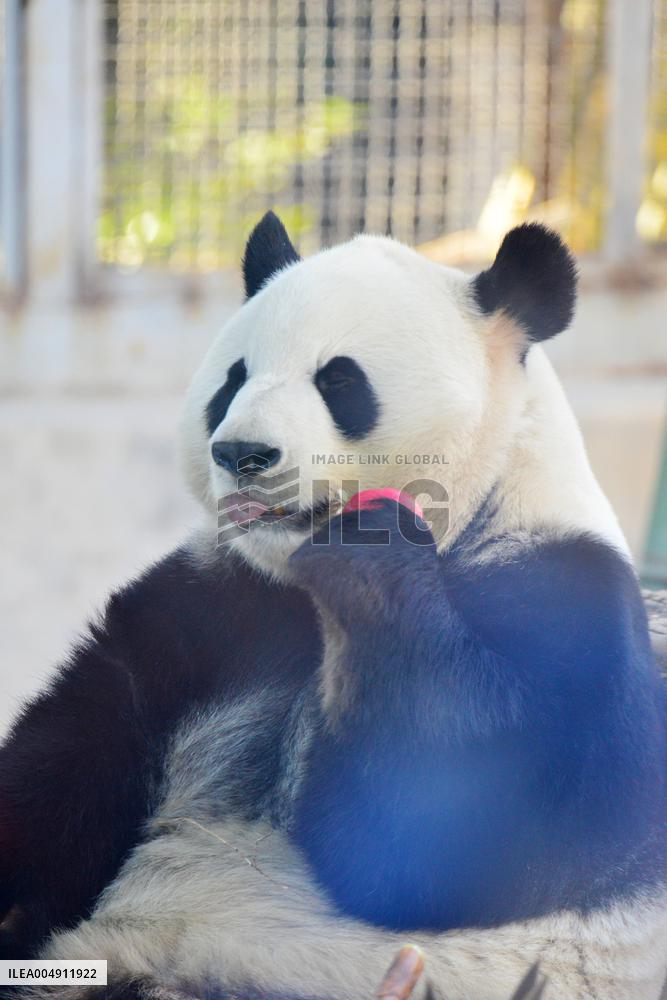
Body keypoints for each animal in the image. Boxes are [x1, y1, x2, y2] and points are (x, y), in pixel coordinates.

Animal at [1, 212, 667, 1000]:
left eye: (339, 380)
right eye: (233, 379)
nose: (242, 453)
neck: (299, 589)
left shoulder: (564, 591)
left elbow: (471, 825)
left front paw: (371, 548)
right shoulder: (214, 604)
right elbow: (80, 744)